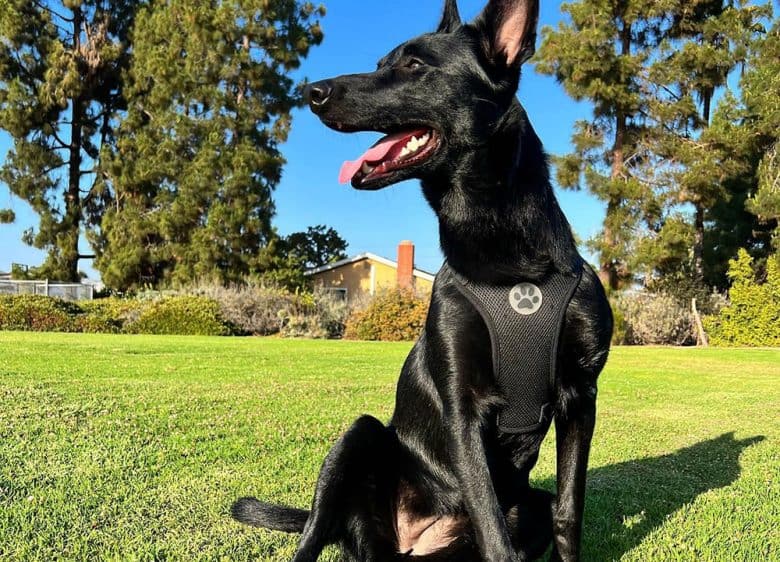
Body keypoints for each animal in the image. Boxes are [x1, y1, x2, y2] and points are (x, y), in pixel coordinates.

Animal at [232, 2, 608, 556]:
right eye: (381, 62)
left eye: (414, 65)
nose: (311, 92)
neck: (511, 265)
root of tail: (413, 539)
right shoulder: (462, 408)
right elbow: (493, 529)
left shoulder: (580, 398)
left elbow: (568, 512)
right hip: (358, 438)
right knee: (314, 533)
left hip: (518, 508)